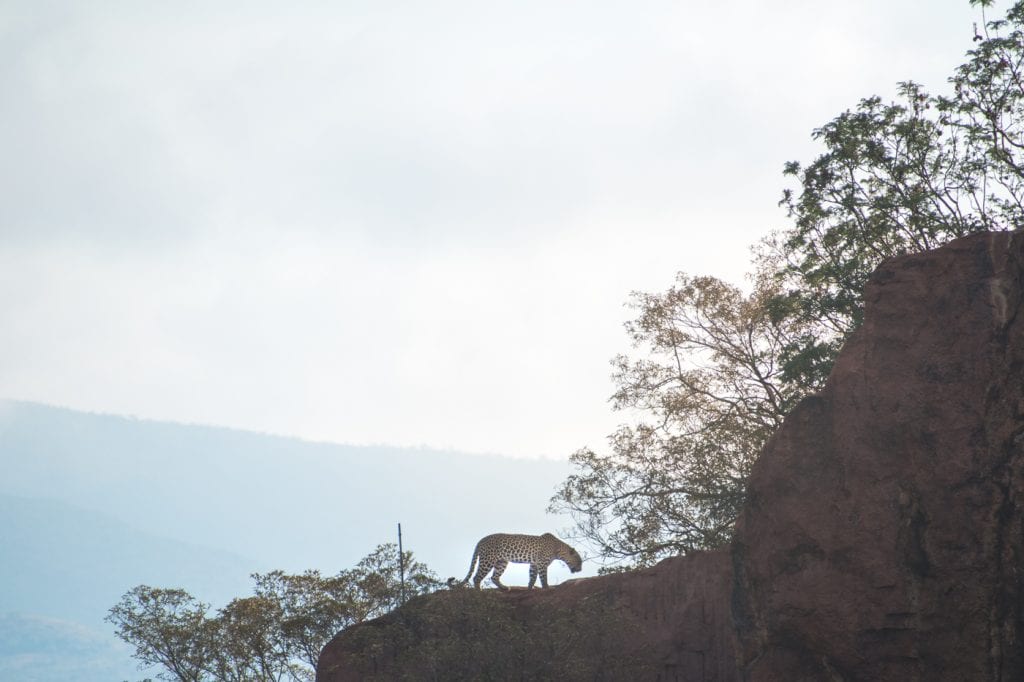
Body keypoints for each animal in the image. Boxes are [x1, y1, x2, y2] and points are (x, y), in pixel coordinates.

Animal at [448, 528, 585, 585]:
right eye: (579, 561)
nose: (580, 570)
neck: (558, 549)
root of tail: (480, 541)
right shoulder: (542, 564)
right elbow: (543, 579)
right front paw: (546, 588)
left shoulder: (534, 564)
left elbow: (532, 579)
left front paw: (530, 589)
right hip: (488, 560)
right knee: (477, 578)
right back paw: (479, 591)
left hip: (502, 562)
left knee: (494, 577)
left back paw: (505, 588)